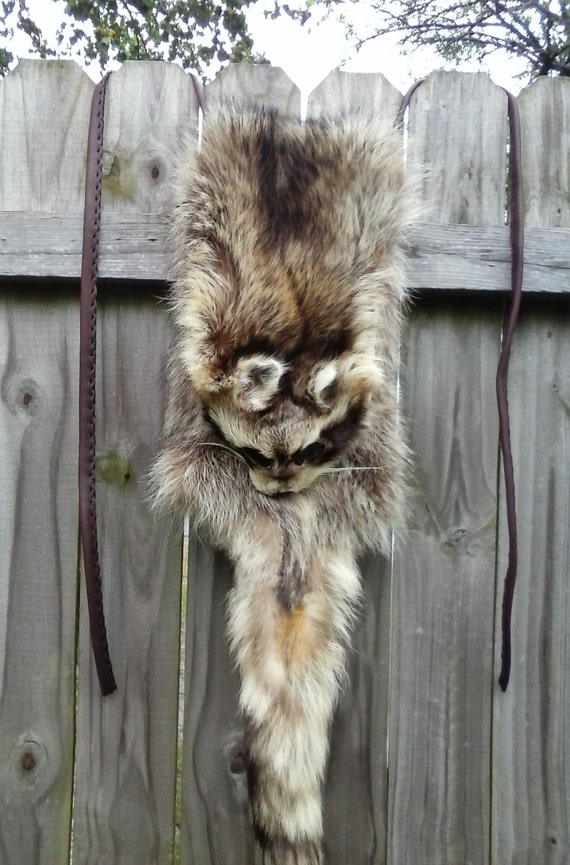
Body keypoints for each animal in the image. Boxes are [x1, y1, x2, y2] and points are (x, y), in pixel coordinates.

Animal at [150, 107, 415, 865]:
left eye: (314, 448)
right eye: (248, 451)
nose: (279, 481)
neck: (293, 337)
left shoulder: (366, 353)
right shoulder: (208, 330)